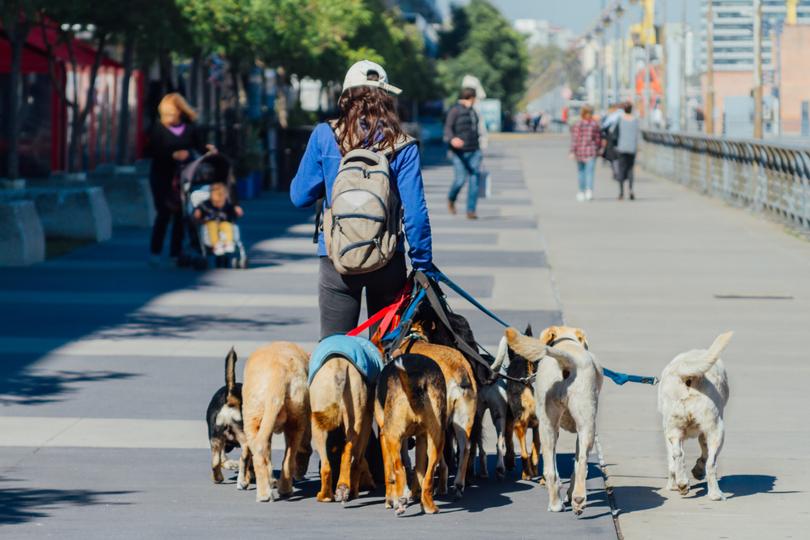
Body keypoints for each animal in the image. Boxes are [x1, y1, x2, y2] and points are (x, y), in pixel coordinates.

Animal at [237, 342, 310, 502]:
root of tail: (279, 373)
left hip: (252, 418)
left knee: (258, 452)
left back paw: (264, 494)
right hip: (297, 420)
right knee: (288, 459)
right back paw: (285, 489)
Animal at [308, 356, 374, 504]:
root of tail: (340, 366)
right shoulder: (367, 419)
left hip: (319, 421)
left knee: (328, 464)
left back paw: (328, 495)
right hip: (356, 415)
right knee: (351, 455)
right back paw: (346, 489)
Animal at [374, 354, 446, 516]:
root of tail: (417, 377)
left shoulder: (383, 436)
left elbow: (388, 472)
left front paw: (389, 500)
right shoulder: (421, 437)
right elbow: (419, 472)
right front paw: (415, 495)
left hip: (392, 436)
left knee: (398, 469)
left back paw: (399, 502)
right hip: (437, 438)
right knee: (428, 476)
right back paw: (428, 506)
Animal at [496, 324, 604, 516]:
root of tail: (568, 359)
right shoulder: (579, 432)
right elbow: (577, 464)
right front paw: (571, 494)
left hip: (547, 426)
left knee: (549, 470)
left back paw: (555, 504)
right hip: (585, 425)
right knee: (581, 464)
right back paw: (577, 499)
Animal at [656, 332, 732, 500]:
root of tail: (685, 371)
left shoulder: (669, 434)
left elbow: (672, 461)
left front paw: (674, 483)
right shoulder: (704, 433)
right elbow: (704, 455)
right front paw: (697, 471)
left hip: (675, 427)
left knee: (678, 454)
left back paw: (684, 484)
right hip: (717, 430)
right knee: (711, 463)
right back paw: (715, 494)